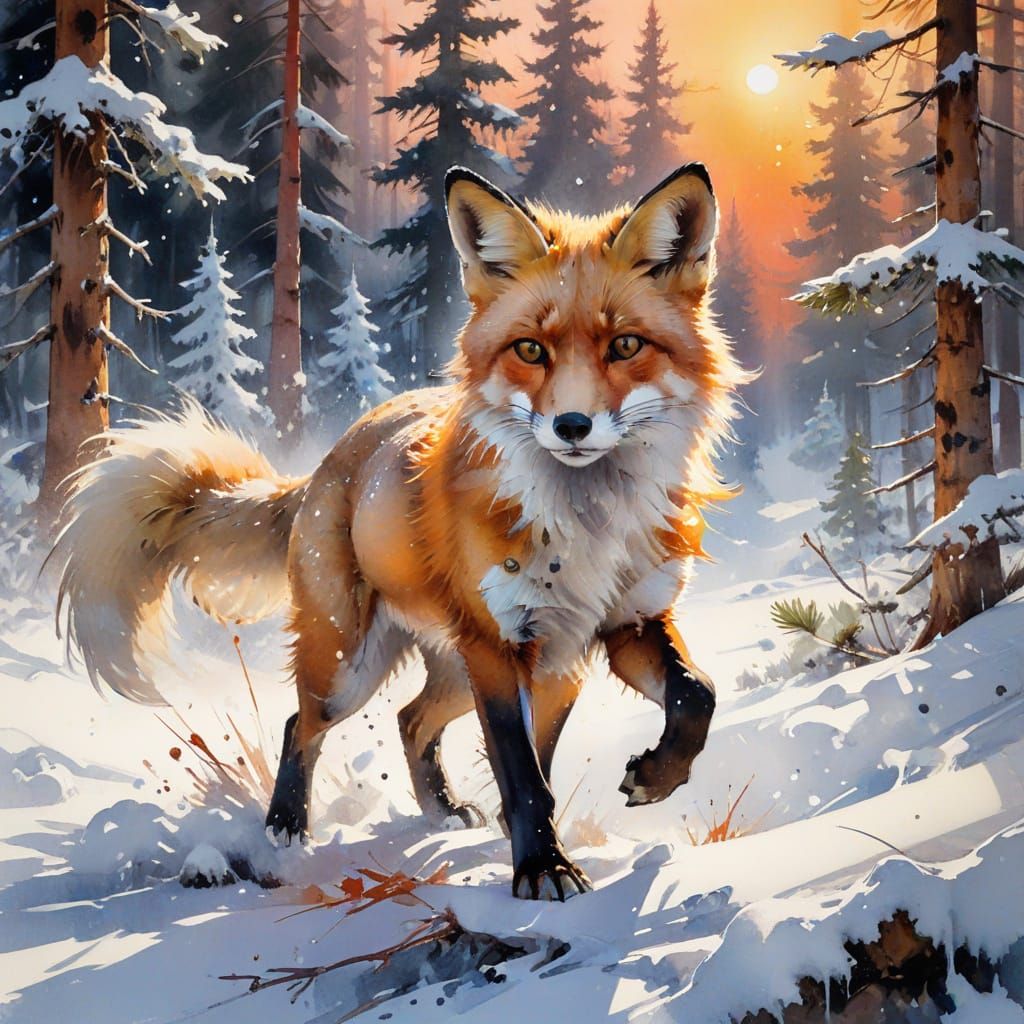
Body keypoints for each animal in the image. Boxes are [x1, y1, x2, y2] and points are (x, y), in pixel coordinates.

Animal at [51, 163, 748, 901]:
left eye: (625, 346)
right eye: (530, 349)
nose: (571, 427)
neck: (586, 525)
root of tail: (336, 453)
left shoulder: (627, 624)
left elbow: (695, 694)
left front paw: (654, 778)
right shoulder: (498, 646)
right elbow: (523, 775)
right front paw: (542, 868)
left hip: (512, 673)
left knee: (412, 720)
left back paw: (443, 812)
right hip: (354, 668)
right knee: (303, 721)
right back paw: (285, 828)